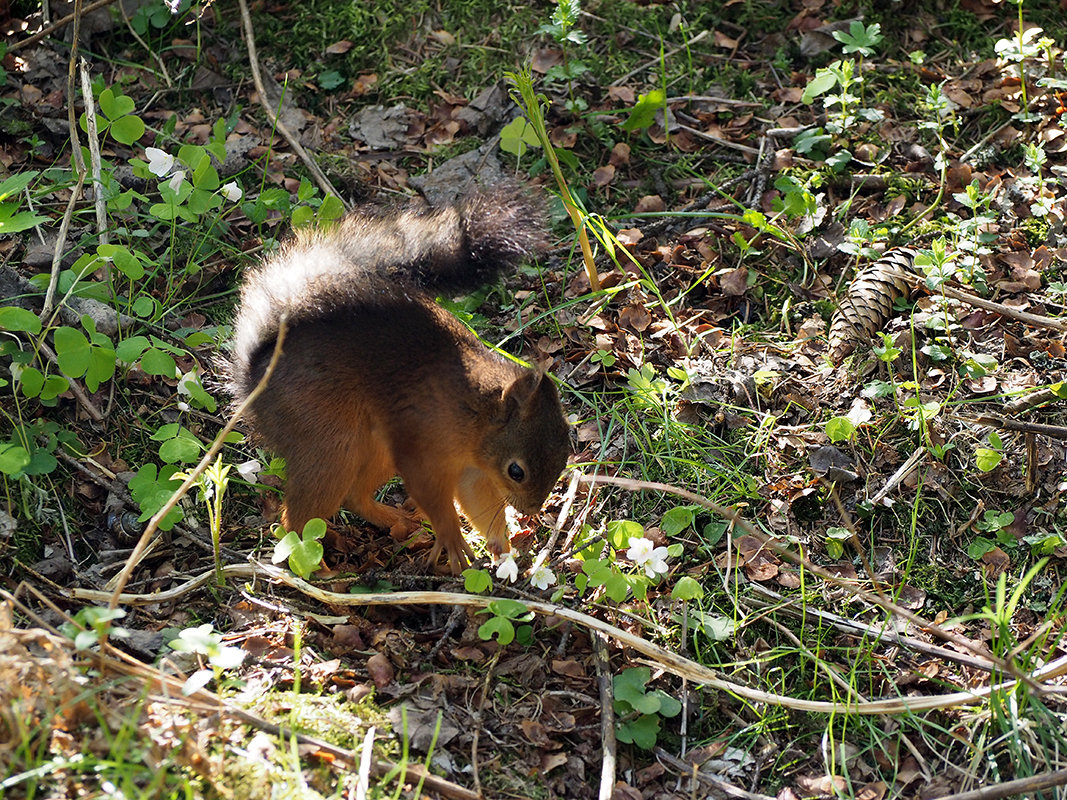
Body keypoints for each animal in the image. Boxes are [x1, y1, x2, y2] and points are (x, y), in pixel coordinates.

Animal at [229, 186, 571, 576]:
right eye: (517, 471)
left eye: (564, 455)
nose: (530, 510)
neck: (475, 408)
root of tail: (254, 381)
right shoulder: (423, 445)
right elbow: (432, 494)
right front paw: (453, 540)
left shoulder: (474, 470)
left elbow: (480, 503)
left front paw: (501, 545)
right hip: (331, 444)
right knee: (297, 521)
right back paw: (321, 569)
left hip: (374, 449)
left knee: (354, 496)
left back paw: (395, 519)